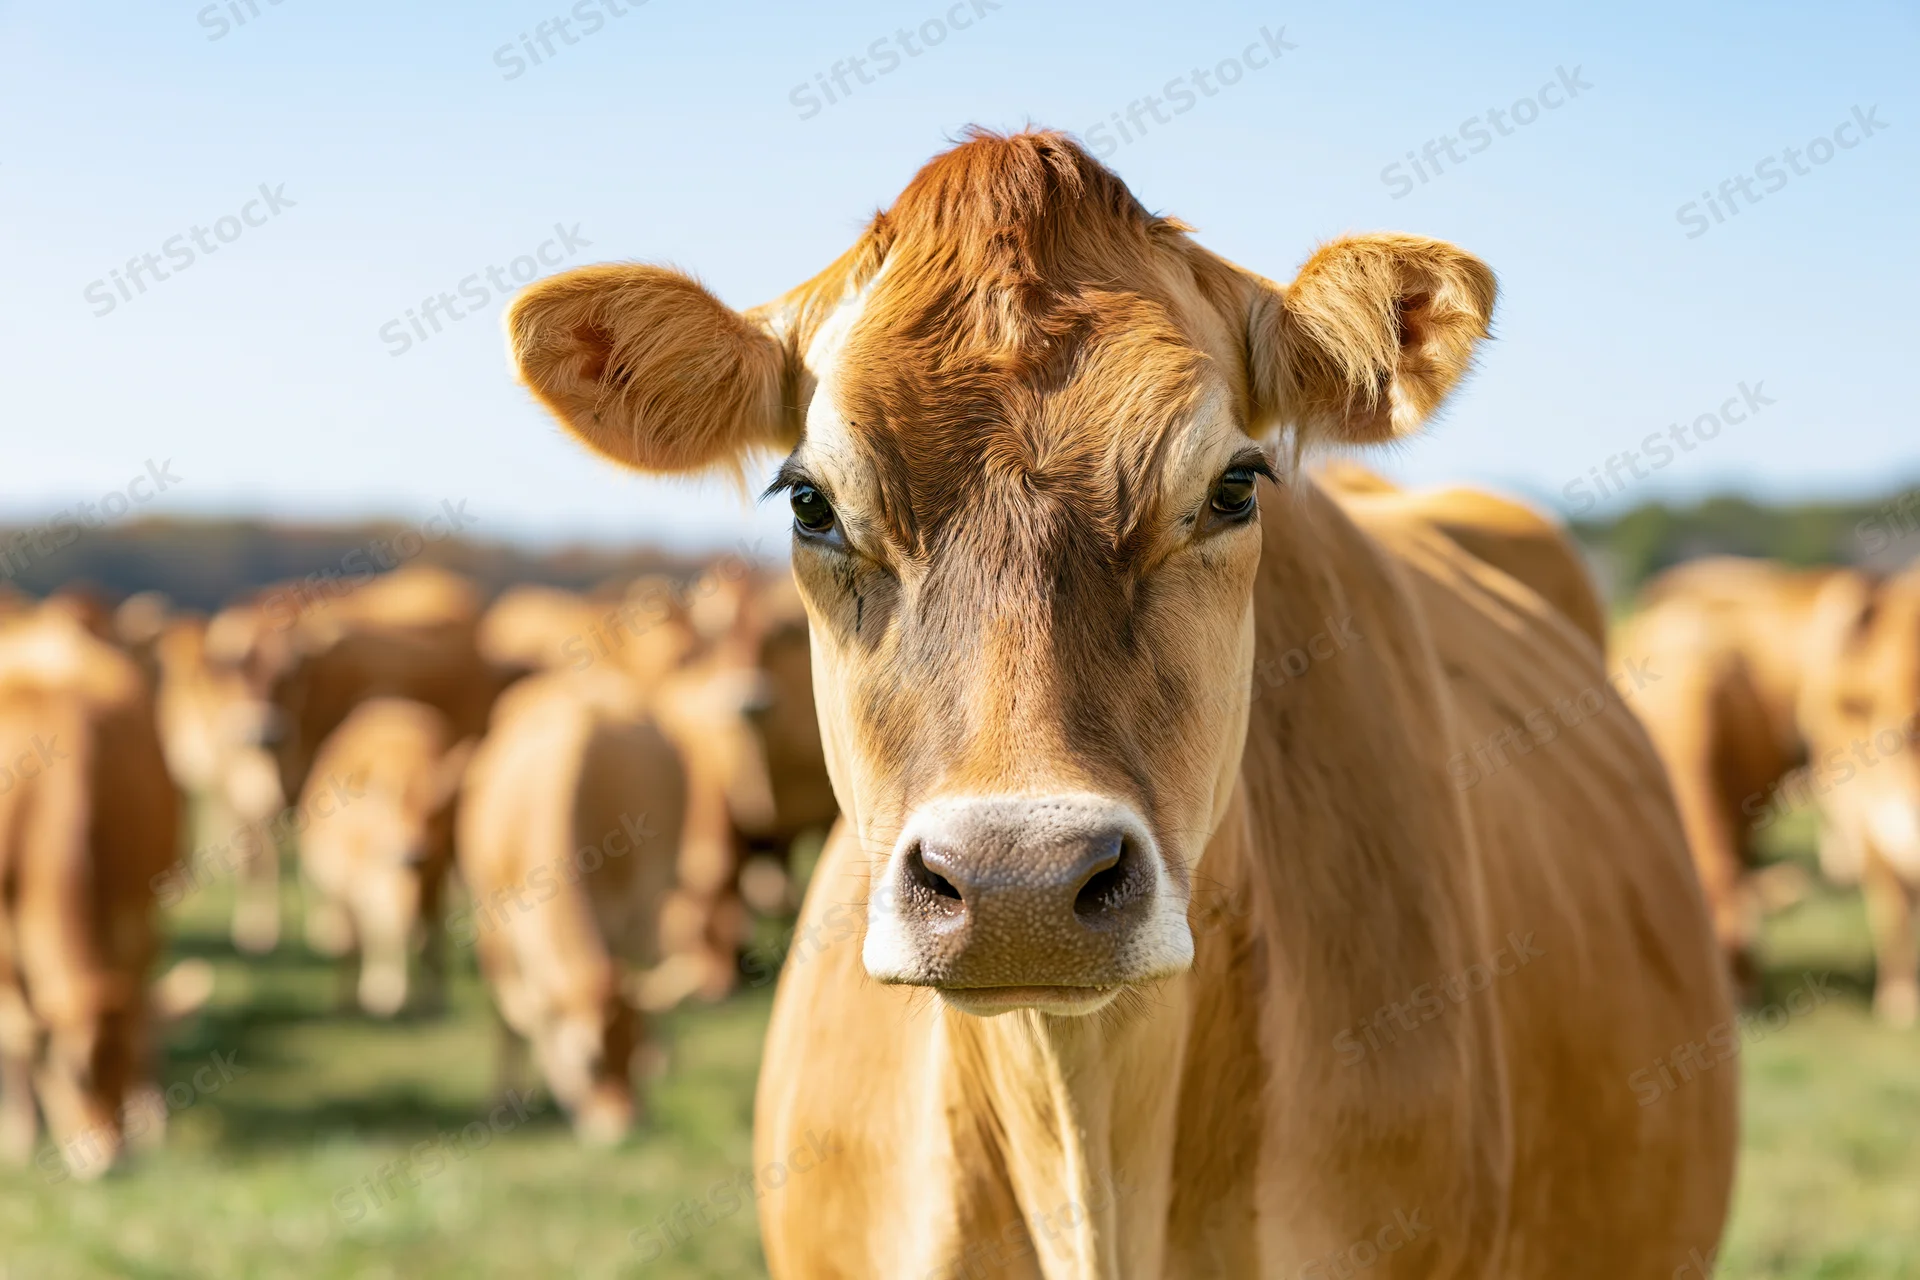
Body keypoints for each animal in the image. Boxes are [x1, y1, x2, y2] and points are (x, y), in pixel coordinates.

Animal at [0, 603, 178, 1180]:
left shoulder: (137, 901)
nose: (110, 1160)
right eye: (70, 1072)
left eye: (125, 1064)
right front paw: (16, 1137)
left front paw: (149, 1122)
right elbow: (17, 1027)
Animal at [298, 698, 471, 1017]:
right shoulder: (346, 879)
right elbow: (366, 932)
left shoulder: (429, 875)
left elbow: (410, 932)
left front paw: (402, 996)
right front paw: (371, 996)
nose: (414, 853)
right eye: (389, 807)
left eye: (434, 814)